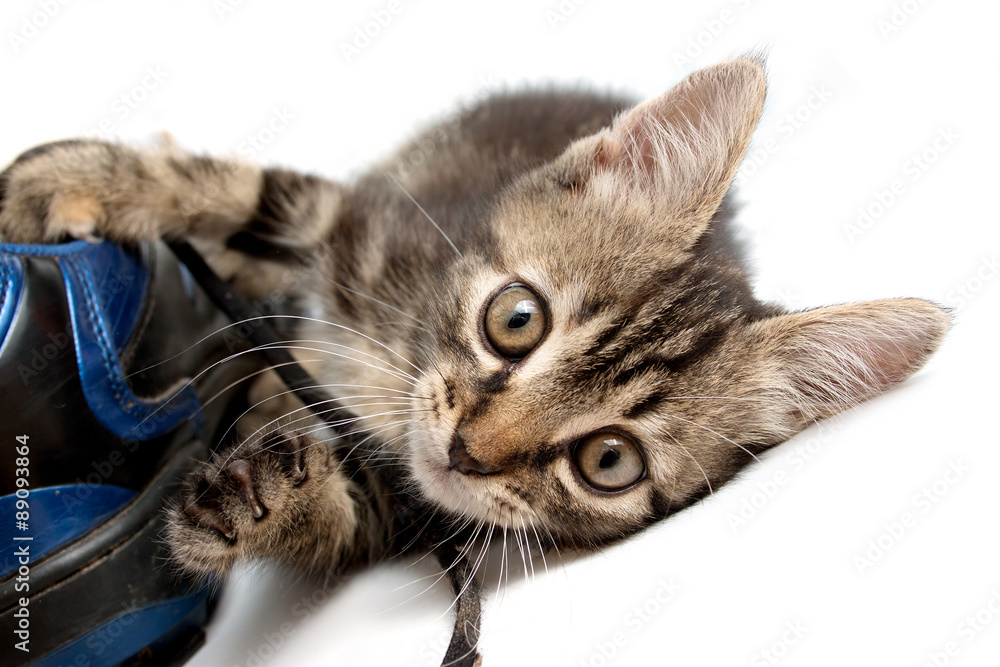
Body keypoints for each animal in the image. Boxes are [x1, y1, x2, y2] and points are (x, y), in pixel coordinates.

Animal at [0, 58, 944, 632]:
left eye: (609, 460)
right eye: (515, 319)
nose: (467, 449)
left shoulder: (407, 503)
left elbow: (345, 516)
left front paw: (266, 502)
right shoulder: (357, 221)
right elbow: (244, 195)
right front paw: (68, 183)